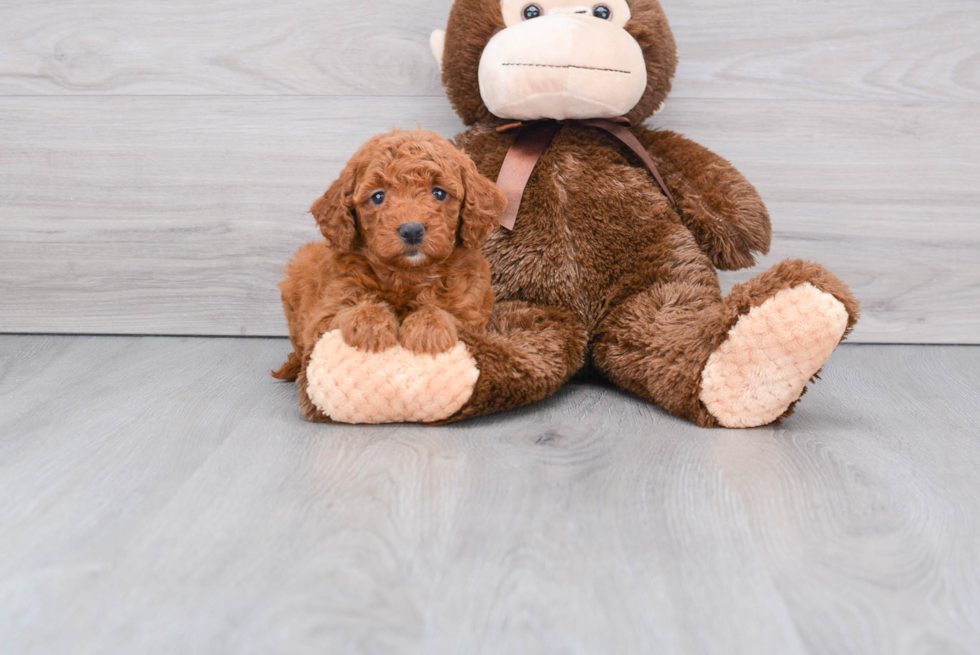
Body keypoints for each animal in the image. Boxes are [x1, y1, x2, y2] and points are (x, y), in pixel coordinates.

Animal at [274, 129, 506, 382]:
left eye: (438, 193)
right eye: (378, 196)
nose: (412, 230)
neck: (407, 275)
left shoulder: (471, 315)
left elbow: (448, 315)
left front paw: (428, 329)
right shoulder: (323, 315)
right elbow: (344, 312)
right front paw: (369, 323)